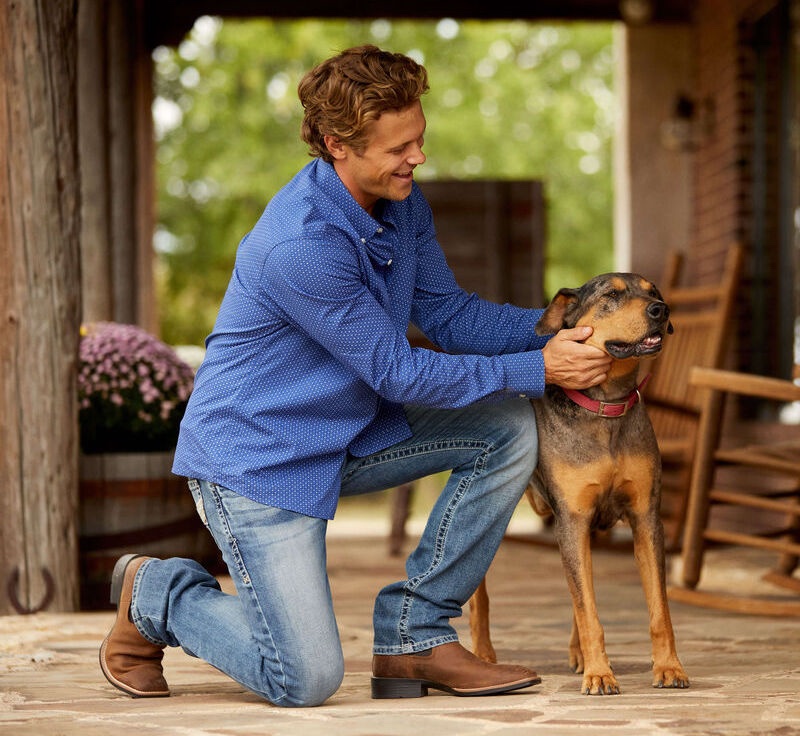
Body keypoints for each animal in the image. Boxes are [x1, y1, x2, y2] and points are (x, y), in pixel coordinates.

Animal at [468, 272, 688, 696]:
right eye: (611, 295)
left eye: (654, 292)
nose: (662, 310)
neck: (606, 408)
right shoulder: (573, 518)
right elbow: (589, 610)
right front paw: (600, 674)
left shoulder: (644, 517)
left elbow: (659, 609)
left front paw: (669, 667)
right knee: (478, 593)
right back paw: (483, 655)